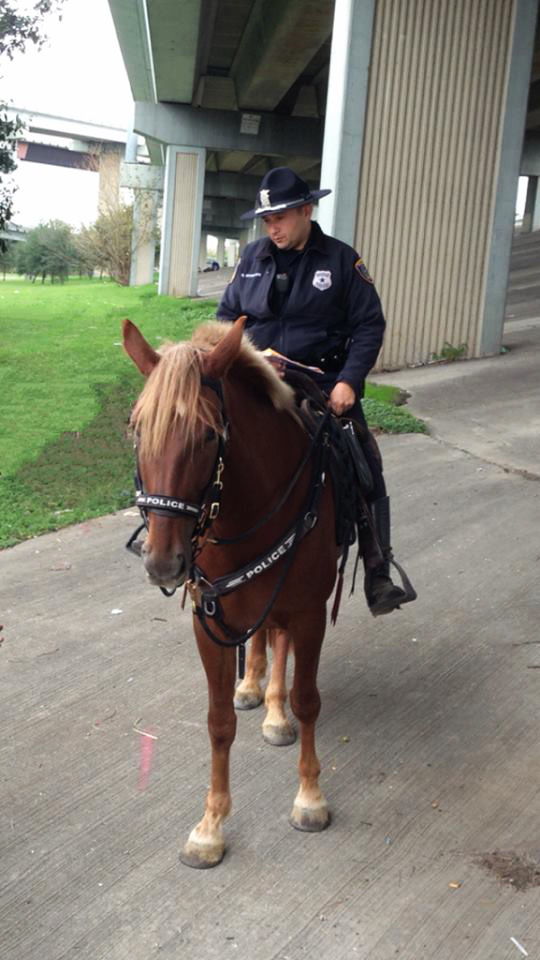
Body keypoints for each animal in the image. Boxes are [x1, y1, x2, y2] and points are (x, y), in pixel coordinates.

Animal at [122, 315, 341, 868]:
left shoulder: (309, 612)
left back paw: (276, 710)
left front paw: (310, 797)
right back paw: (254, 687)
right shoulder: (209, 619)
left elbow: (309, 700)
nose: (163, 562)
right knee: (262, 638)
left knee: (279, 645)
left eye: (206, 435)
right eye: (137, 428)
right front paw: (210, 825)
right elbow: (218, 721)